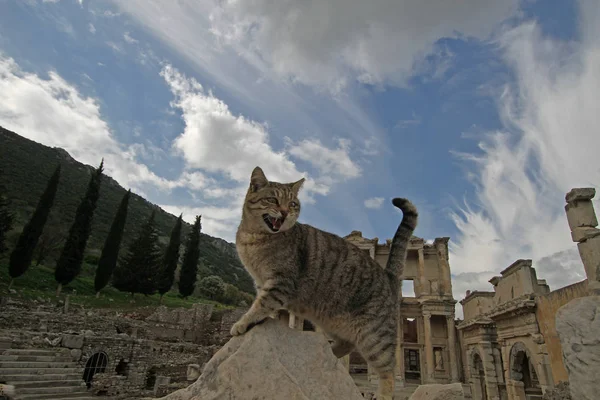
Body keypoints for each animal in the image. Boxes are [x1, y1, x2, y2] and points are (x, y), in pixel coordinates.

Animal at [230, 166, 418, 400]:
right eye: (273, 200)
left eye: (293, 204)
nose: (285, 212)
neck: (254, 238)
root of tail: (388, 274)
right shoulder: (261, 281)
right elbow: (265, 306)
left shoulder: (280, 282)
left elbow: (261, 304)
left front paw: (243, 322)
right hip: (331, 322)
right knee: (347, 344)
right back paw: (329, 352)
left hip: (375, 337)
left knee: (387, 369)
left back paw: (383, 393)